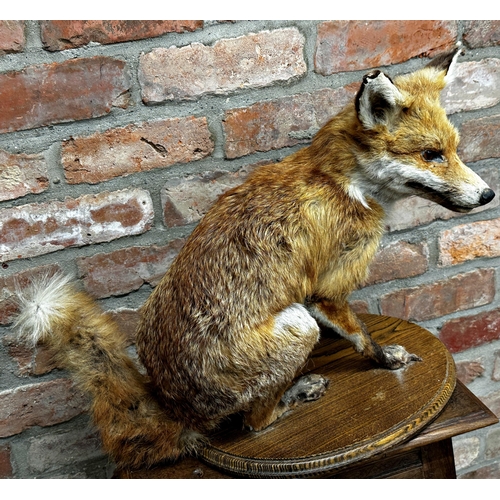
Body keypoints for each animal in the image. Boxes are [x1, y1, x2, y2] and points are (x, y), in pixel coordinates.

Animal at [13, 47, 494, 468]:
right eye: (431, 154)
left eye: (455, 148)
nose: (488, 194)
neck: (342, 183)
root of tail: (174, 406)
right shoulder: (327, 288)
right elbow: (361, 336)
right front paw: (385, 359)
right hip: (296, 325)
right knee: (254, 424)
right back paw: (297, 393)